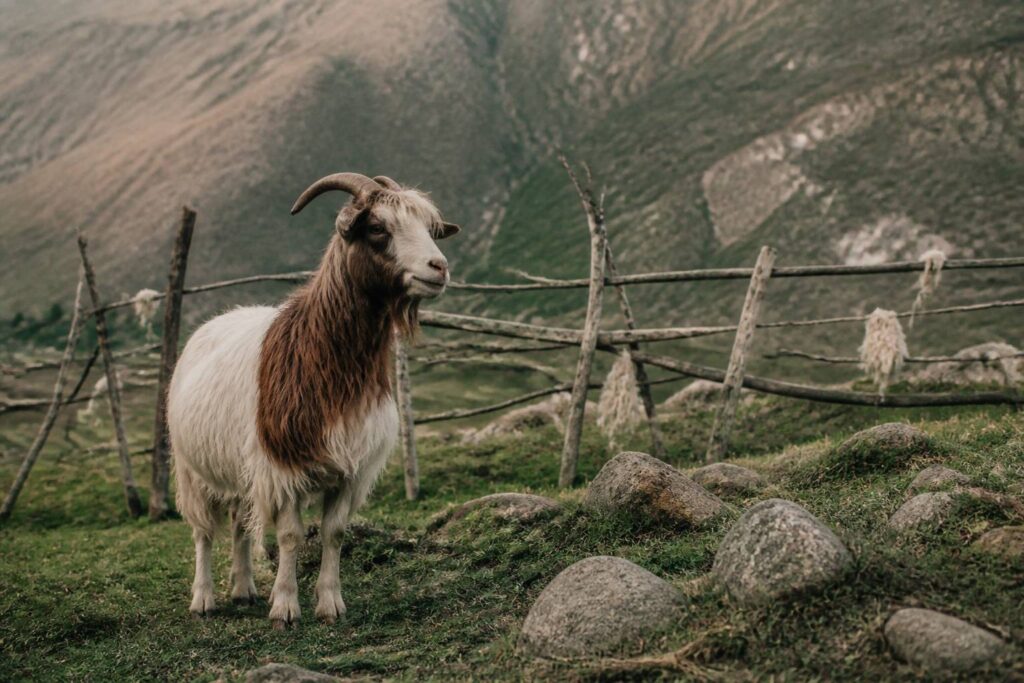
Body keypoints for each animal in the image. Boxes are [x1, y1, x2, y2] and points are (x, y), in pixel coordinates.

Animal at [167, 172, 459, 628]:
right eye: (378, 228)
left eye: (429, 228)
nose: (439, 268)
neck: (323, 356)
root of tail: (216, 320)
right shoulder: (281, 465)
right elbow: (290, 535)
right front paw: (286, 607)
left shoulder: (350, 467)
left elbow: (333, 533)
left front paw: (330, 603)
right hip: (192, 469)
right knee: (203, 532)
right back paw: (204, 598)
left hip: (239, 469)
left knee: (239, 524)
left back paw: (244, 589)